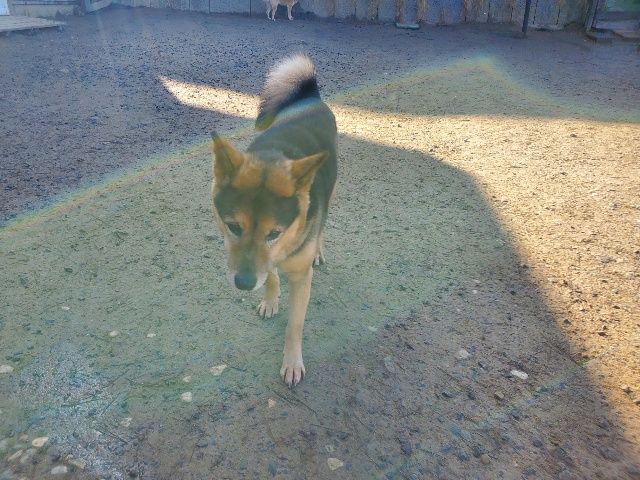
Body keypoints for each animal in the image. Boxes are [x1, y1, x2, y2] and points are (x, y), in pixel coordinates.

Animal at [211, 53, 337, 386]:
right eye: (233, 227)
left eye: (274, 233)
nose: (243, 284)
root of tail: (310, 95)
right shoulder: (263, 264)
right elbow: (269, 276)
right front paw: (270, 299)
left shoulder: (302, 277)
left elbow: (295, 325)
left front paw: (292, 362)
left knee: (323, 223)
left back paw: (318, 248)